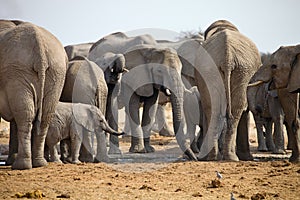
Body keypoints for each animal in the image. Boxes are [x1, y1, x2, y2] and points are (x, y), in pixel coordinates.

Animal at [0, 20, 67, 169]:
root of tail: (39, 46)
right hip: (56, 72)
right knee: (45, 116)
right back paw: (39, 163)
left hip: (18, 71)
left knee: (25, 116)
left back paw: (22, 165)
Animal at [196, 19, 262, 161]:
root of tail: (228, 57)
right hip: (237, 70)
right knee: (233, 107)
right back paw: (226, 157)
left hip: (237, 69)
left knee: (217, 108)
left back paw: (219, 157)